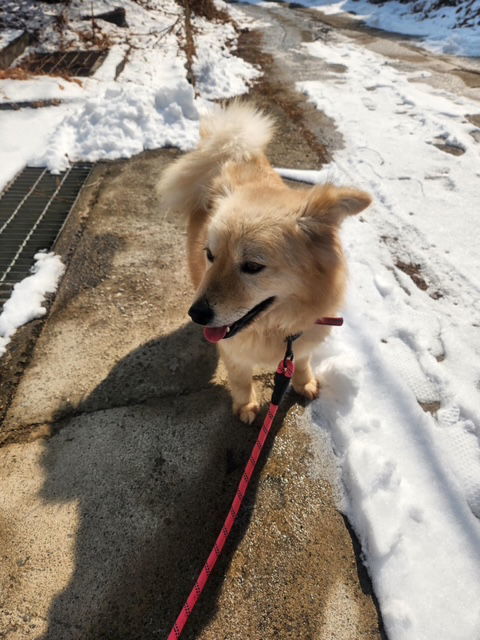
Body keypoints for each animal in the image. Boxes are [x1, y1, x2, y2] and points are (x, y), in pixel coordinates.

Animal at [159, 102, 374, 422]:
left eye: (252, 267)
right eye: (210, 255)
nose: (196, 314)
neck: (276, 326)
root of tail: (234, 151)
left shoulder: (301, 343)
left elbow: (303, 362)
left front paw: (305, 383)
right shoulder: (232, 350)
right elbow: (239, 378)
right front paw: (246, 406)